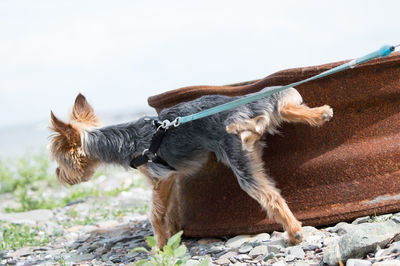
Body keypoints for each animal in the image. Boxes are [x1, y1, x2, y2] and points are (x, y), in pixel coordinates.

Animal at [48, 87, 332, 247]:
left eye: (59, 162)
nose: (58, 176)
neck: (124, 139)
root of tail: (241, 106)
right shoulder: (171, 178)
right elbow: (170, 209)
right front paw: (173, 233)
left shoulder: (159, 177)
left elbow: (155, 215)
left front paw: (160, 246)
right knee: (285, 109)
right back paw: (321, 113)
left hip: (239, 161)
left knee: (270, 197)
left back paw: (294, 233)